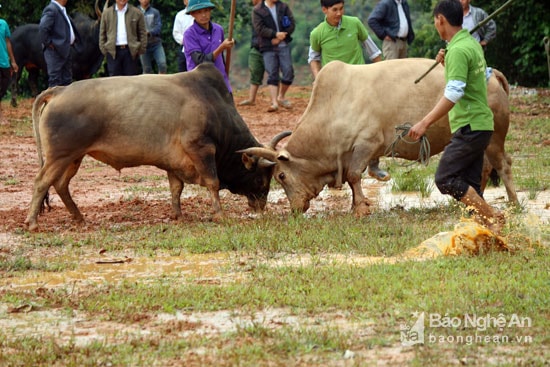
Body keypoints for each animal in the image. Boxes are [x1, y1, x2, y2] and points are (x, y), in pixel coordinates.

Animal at [244, 58, 520, 216]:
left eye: (280, 175)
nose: (295, 209)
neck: (332, 108)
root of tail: (492, 73)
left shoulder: (368, 144)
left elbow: (354, 176)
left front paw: (360, 208)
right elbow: (355, 178)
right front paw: (356, 204)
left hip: (494, 138)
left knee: (503, 165)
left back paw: (514, 203)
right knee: (485, 168)